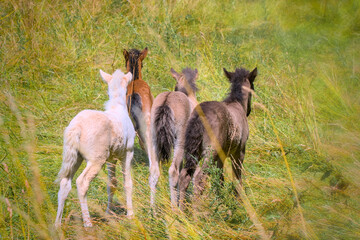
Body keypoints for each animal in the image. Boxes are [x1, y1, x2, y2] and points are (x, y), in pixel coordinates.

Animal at [54, 69, 135, 227]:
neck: (117, 107)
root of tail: (76, 127)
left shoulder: (111, 158)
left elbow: (112, 184)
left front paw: (108, 213)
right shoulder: (128, 152)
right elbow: (127, 183)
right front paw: (131, 216)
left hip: (75, 156)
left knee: (65, 183)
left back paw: (57, 224)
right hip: (96, 158)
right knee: (82, 182)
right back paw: (88, 223)